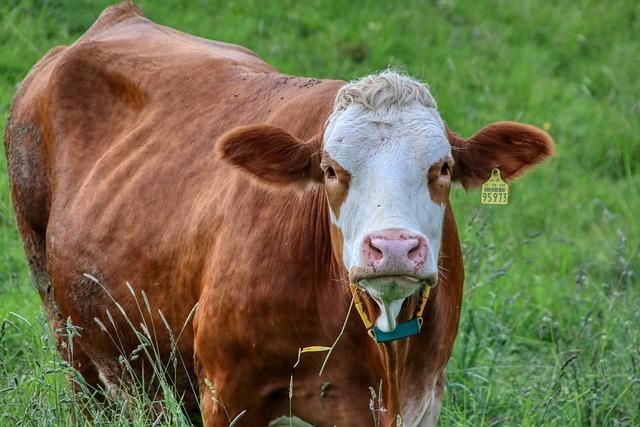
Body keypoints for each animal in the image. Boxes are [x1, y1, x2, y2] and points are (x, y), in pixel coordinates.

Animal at [2, 1, 552, 426]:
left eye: (442, 167)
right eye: (330, 169)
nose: (393, 247)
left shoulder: (424, 397)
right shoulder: (227, 394)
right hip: (65, 324)